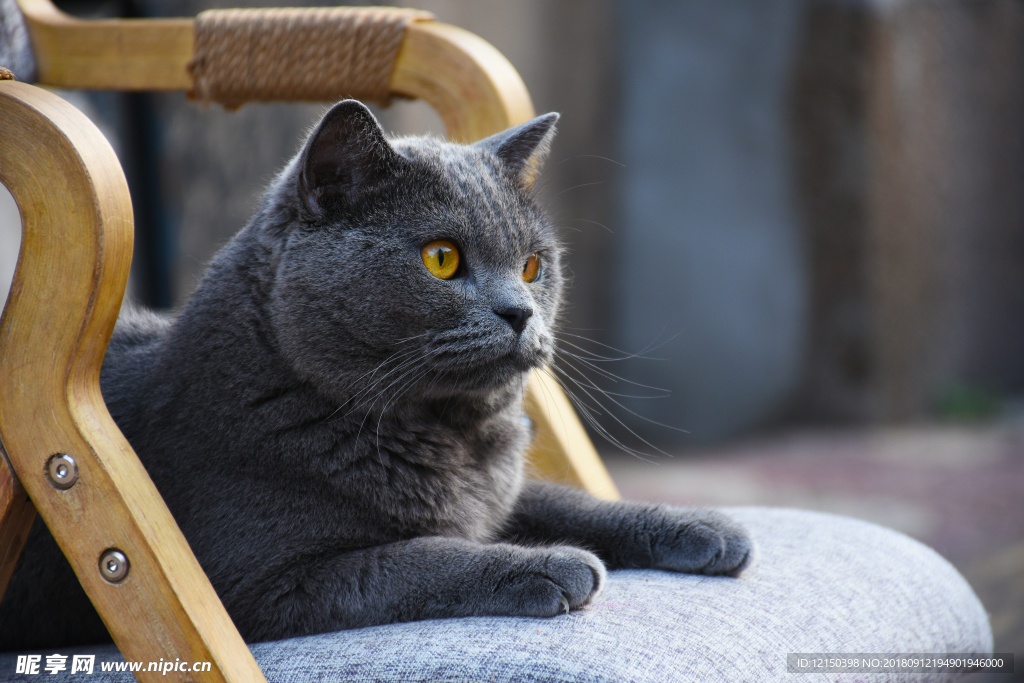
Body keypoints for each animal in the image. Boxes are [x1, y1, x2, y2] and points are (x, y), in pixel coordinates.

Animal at [2, 100, 753, 647]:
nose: (519, 312)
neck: (449, 437)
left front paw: (708, 528)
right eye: (442, 259)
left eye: (535, 265)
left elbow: (567, 502)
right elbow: (419, 556)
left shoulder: (497, 495)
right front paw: (554, 563)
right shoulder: (257, 583)